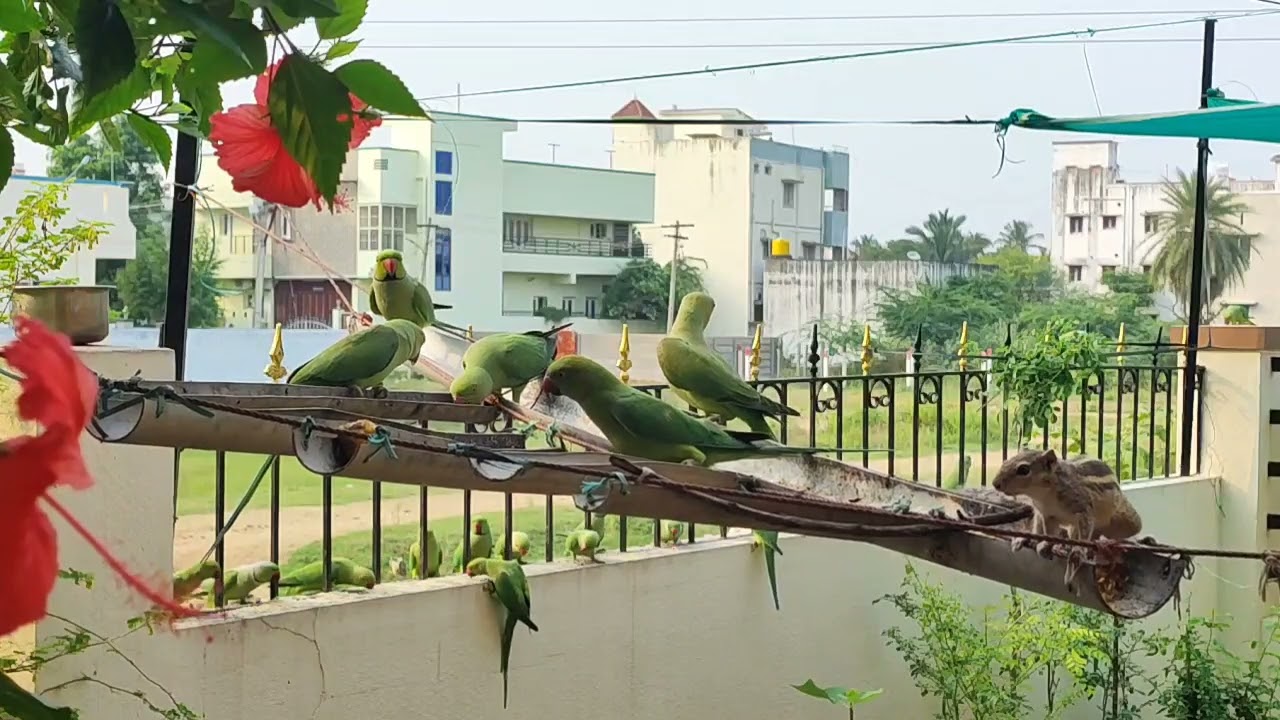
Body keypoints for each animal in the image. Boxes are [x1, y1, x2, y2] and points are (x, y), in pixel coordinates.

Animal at [991, 448, 1146, 590]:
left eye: (1023, 469)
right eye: (1006, 461)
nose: (995, 483)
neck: (1044, 494)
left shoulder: (1084, 508)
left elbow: (1085, 531)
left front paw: (1078, 551)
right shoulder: (1046, 515)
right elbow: (1048, 532)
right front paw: (1046, 545)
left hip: (1126, 520)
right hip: (1069, 527)